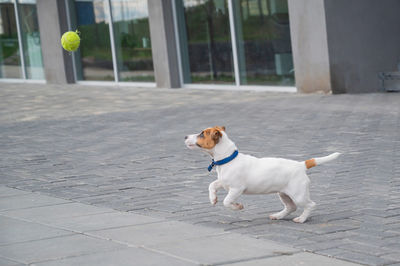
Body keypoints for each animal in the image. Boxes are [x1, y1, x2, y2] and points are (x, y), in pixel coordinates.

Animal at [185, 126, 340, 222]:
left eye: (201, 134)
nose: (185, 136)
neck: (228, 158)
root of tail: (301, 165)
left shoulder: (236, 189)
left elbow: (227, 201)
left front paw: (237, 206)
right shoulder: (223, 183)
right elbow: (211, 185)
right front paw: (213, 199)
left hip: (299, 194)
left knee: (311, 205)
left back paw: (301, 219)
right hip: (284, 193)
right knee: (291, 207)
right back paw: (277, 216)